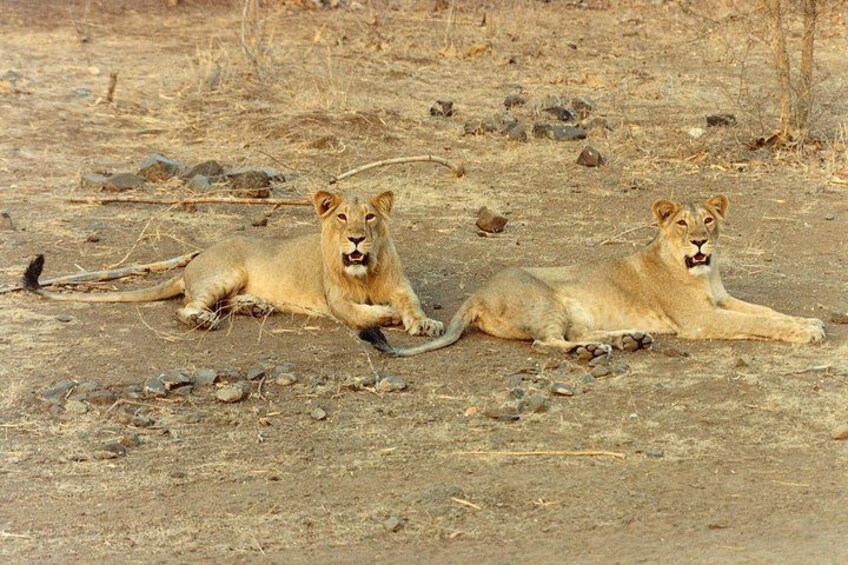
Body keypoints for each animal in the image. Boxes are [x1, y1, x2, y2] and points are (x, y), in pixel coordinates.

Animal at [22, 190, 445, 336]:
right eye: (341, 217)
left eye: (369, 217)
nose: (356, 237)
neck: (365, 273)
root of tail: (192, 262)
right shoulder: (338, 302)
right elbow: (365, 314)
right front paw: (389, 316)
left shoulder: (401, 287)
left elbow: (411, 304)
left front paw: (424, 323)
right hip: (226, 272)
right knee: (188, 307)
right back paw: (206, 320)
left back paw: (254, 306)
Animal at [361, 194, 824, 359]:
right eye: (681, 223)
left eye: (708, 220)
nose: (699, 243)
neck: (701, 274)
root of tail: (477, 293)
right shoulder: (700, 319)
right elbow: (756, 321)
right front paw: (807, 332)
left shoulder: (721, 300)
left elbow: (765, 311)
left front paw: (808, 321)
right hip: (546, 298)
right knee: (547, 342)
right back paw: (594, 350)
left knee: (573, 334)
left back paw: (626, 340)